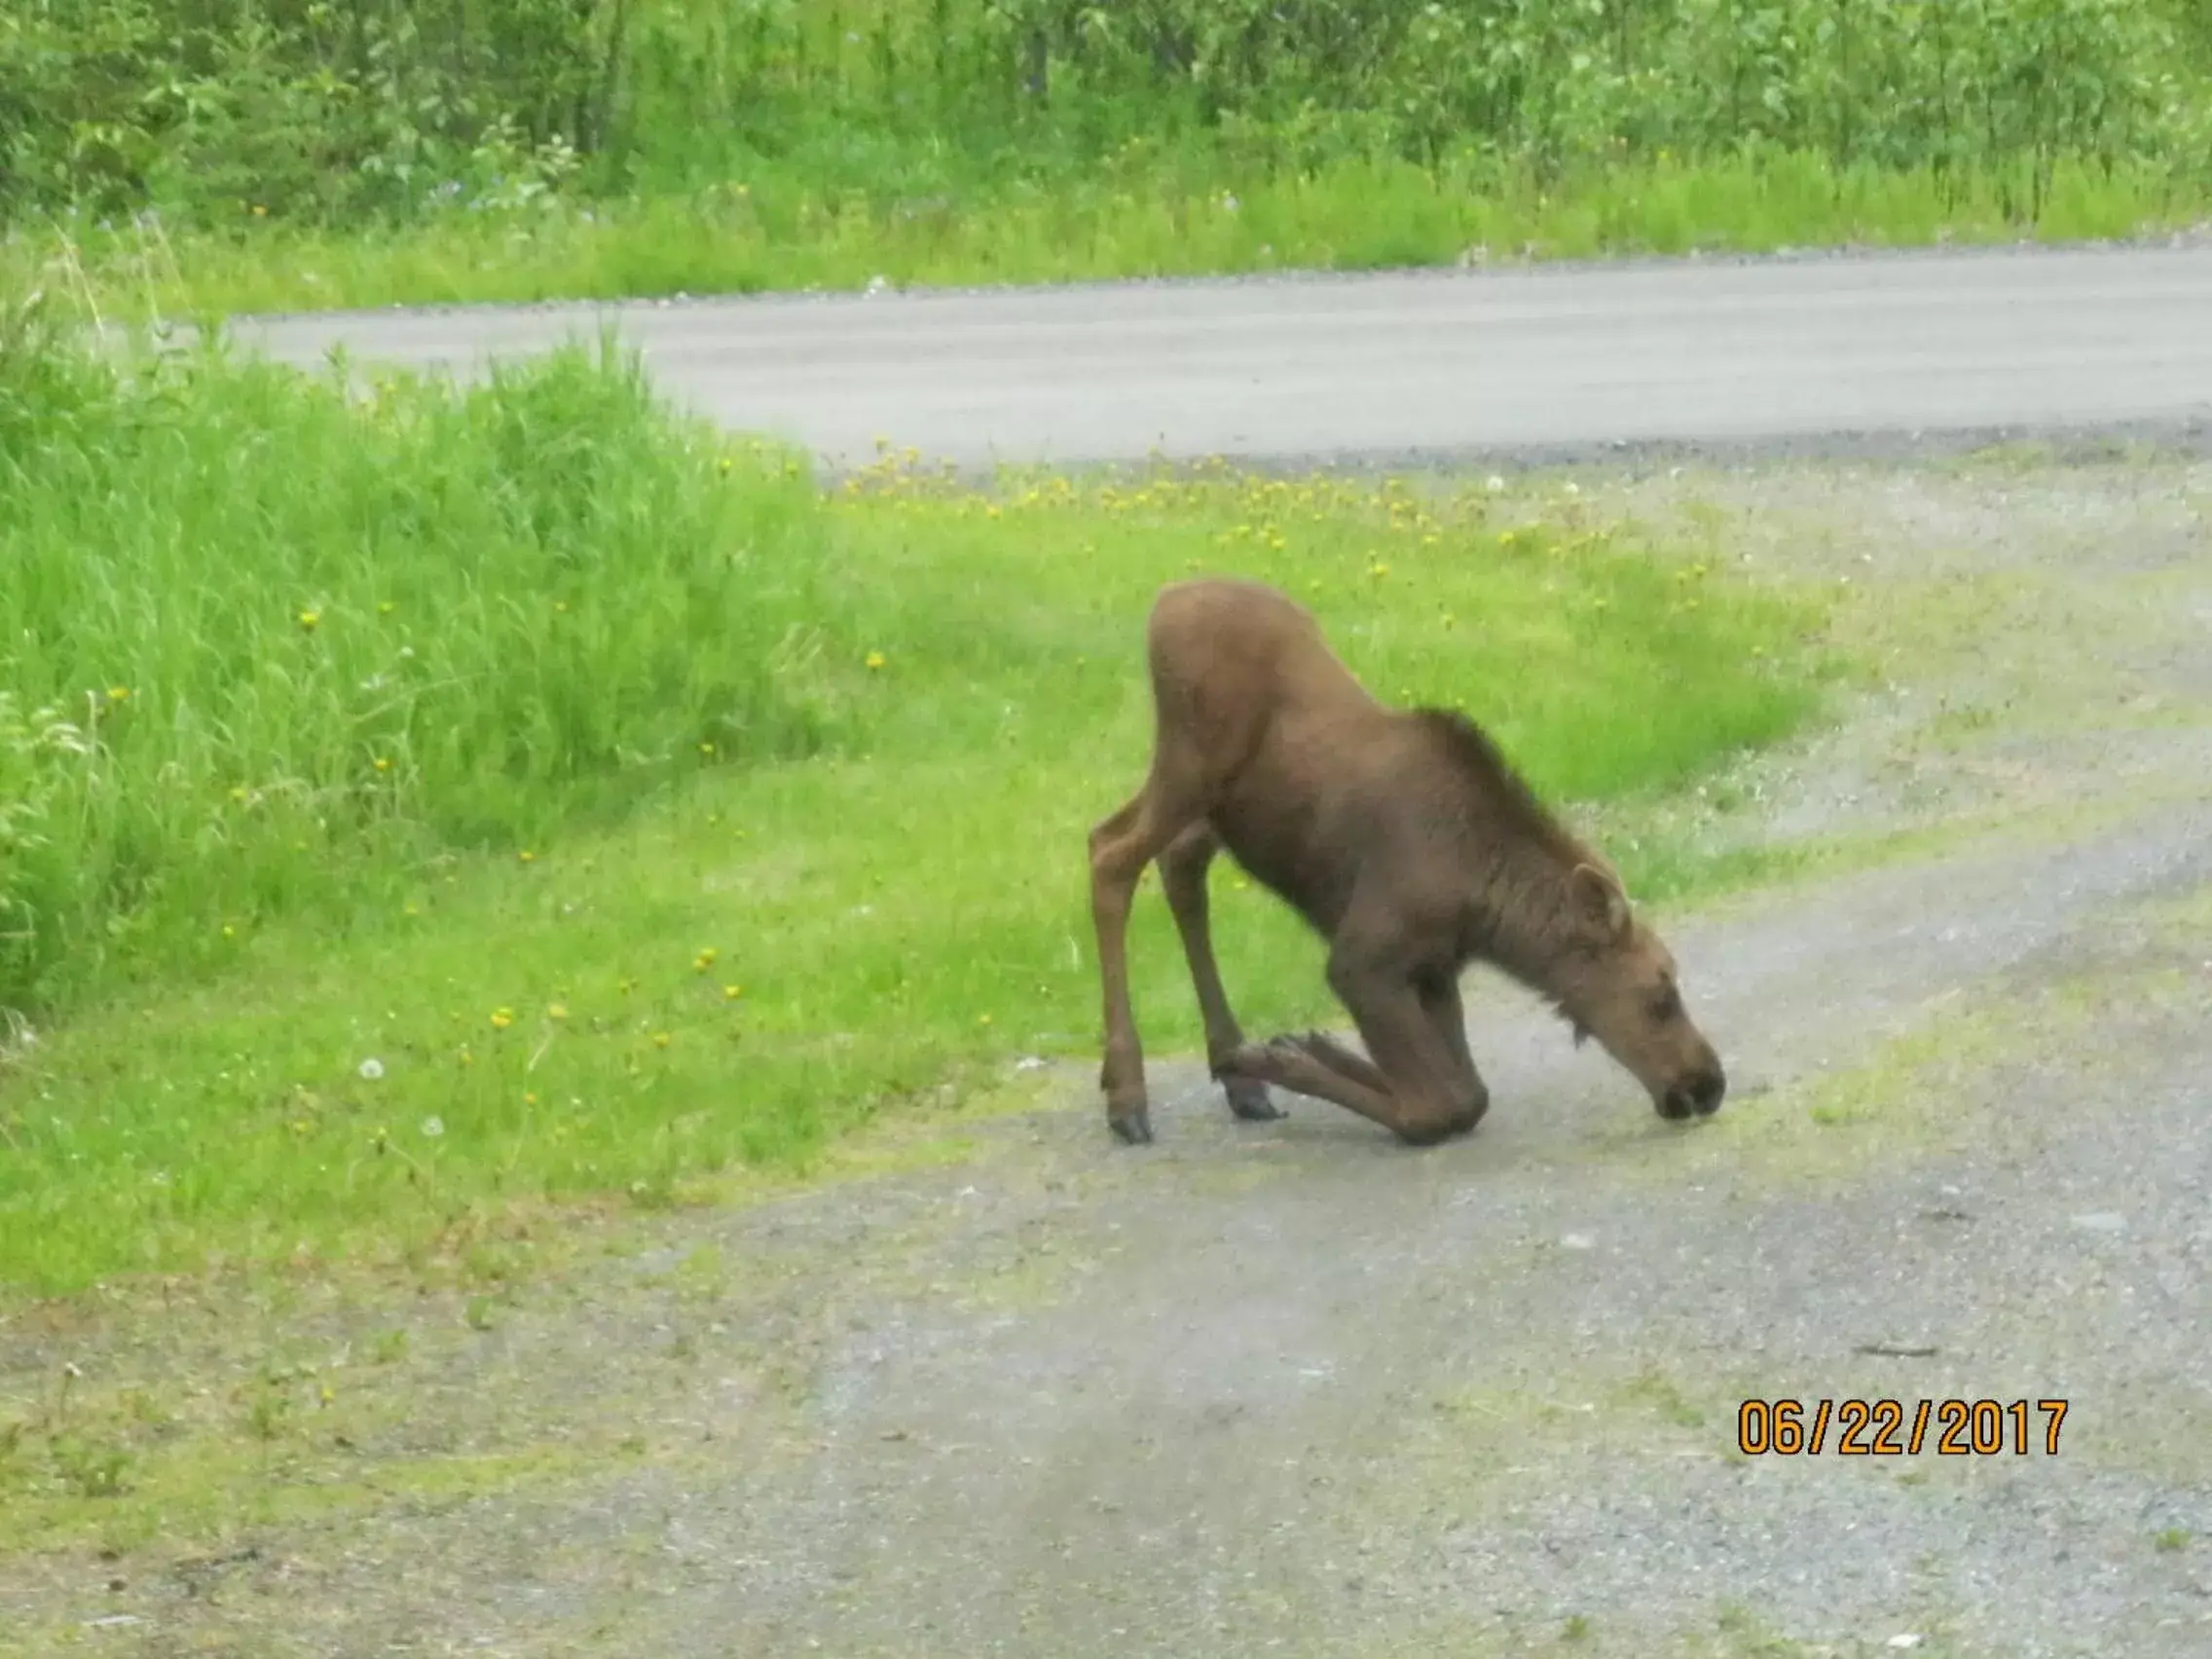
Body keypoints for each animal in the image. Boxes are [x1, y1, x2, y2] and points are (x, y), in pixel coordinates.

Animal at [1088, 579, 1725, 1150]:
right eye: (1659, 996)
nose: (1708, 1084)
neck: (1487, 912)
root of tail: (1162, 605)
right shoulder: (1362, 960)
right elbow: (1440, 1104)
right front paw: (1287, 1057)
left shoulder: (1434, 969)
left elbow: (1467, 1091)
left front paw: (1299, 1051)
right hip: (1191, 764)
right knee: (1110, 856)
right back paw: (1128, 1097)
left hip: (1208, 805)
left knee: (1171, 862)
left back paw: (1233, 1074)